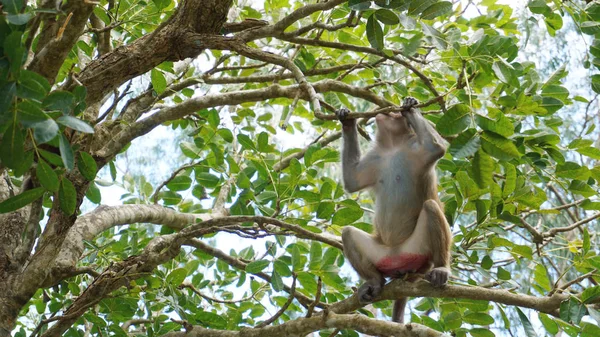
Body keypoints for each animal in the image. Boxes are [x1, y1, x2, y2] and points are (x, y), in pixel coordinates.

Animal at [336, 96, 452, 322]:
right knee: (347, 233)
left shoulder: (418, 148)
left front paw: (410, 108)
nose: (388, 111)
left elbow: (436, 147)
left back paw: (441, 268)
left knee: (430, 206)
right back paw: (375, 281)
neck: (393, 147)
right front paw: (347, 121)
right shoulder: (375, 158)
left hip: (418, 250)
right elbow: (353, 181)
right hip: (382, 255)